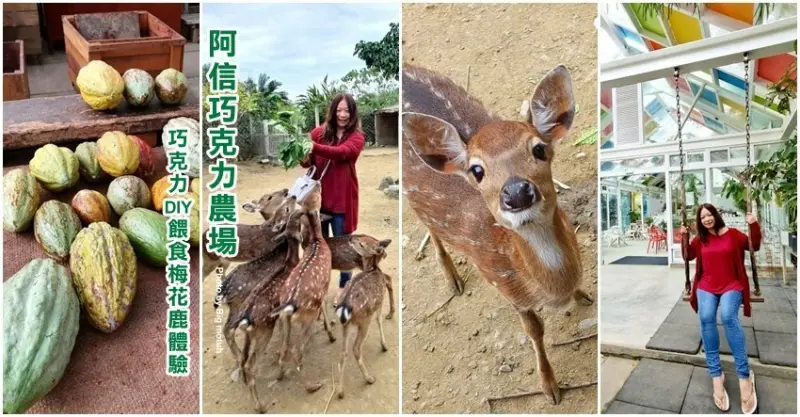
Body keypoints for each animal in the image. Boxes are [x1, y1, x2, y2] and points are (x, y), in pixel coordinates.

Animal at [334, 238, 393, 399]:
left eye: (361, 243)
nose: (351, 239)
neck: (374, 269)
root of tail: (344, 306)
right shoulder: (379, 301)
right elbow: (379, 320)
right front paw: (384, 346)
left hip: (346, 325)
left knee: (343, 352)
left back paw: (340, 392)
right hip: (364, 320)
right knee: (355, 348)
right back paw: (369, 378)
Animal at [402, 64, 593, 405]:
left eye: (539, 148)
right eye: (477, 170)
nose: (516, 192)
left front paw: (584, 295)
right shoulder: (505, 287)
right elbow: (534, 330)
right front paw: (550, 388)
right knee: (428, 226)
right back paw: (453, 280)